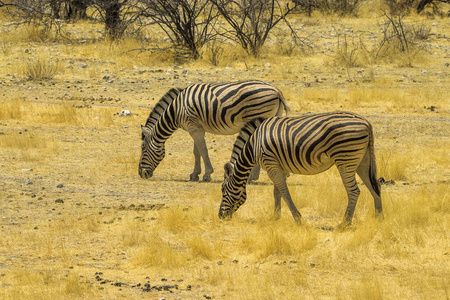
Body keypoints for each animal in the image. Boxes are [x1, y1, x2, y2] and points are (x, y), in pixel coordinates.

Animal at [139, 79, 290, 182]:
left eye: (143, 148)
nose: (141, 174)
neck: (176, 109)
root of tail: (277, 90)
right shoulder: (196, 128)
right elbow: (197, 152)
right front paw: (195, 174)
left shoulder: (194, 128)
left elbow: (203, 151)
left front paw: (207, 174)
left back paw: (251, 177)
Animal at [218, 112, 384, 227]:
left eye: (223, 189)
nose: (220, 216)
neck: (253, 145)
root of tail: (366, 122)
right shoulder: (278, 166)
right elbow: (277, 192)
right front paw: (275, 217)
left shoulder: (271, 164)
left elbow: (284, 192)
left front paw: (297, 218)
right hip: (363, 161)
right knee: (375, 186)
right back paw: (379, 218)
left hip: (345, 159)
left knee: (354, 191)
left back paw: (345, 223)